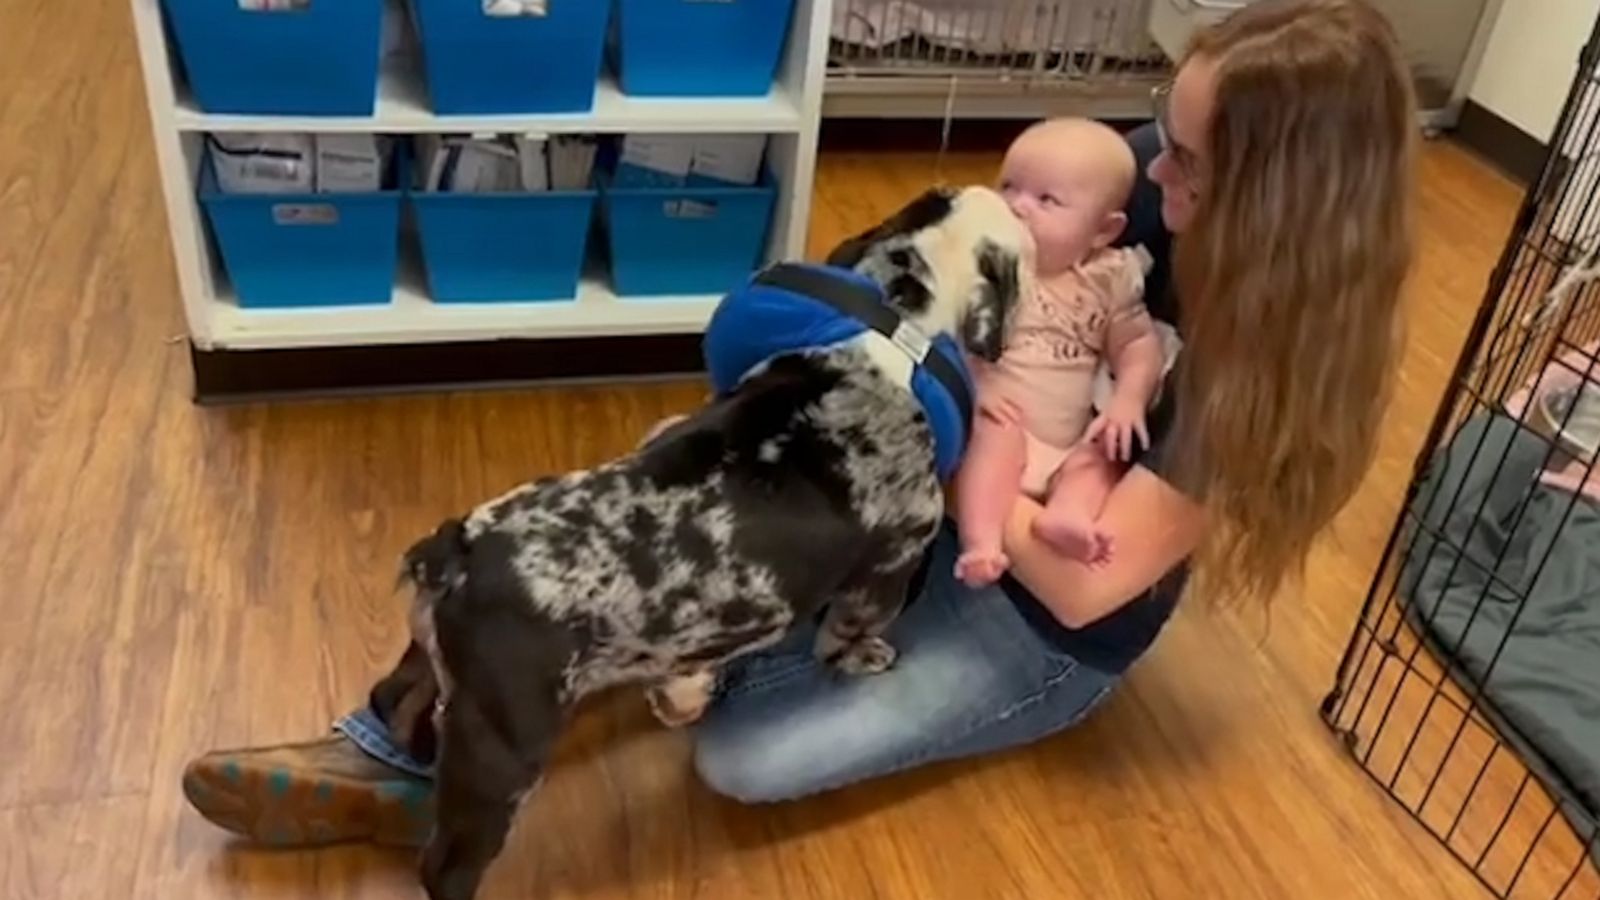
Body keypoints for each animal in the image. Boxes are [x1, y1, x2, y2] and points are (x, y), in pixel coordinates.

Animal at [393, 184, 1030, 896]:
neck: (899, 319)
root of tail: (458, 553)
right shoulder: (888, 568)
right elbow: (846, 636)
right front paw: (860, 657)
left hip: (438, 682)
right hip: (504, 752)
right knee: (448, 864)